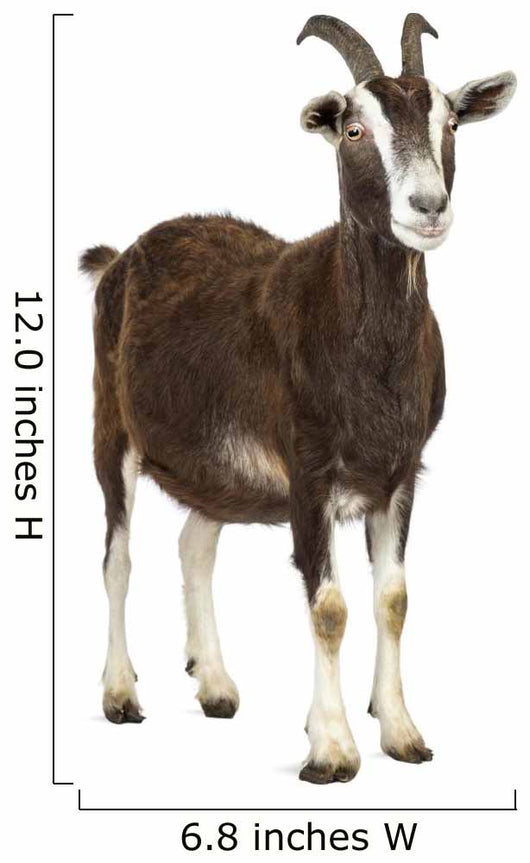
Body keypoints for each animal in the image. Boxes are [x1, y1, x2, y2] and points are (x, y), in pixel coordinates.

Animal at [80, 13, 516, 784]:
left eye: (450, 122)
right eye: (354, 128)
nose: (428, 208)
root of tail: (119, 258)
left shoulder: (399, 473)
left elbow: (393, 598)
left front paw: (401, 733)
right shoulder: (308, 472)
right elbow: (330, 607)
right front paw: (333, 749)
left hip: (218, 468)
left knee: (195, 543)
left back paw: (216, 685)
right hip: (112, 427)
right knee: (118, 556)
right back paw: (121, 694)